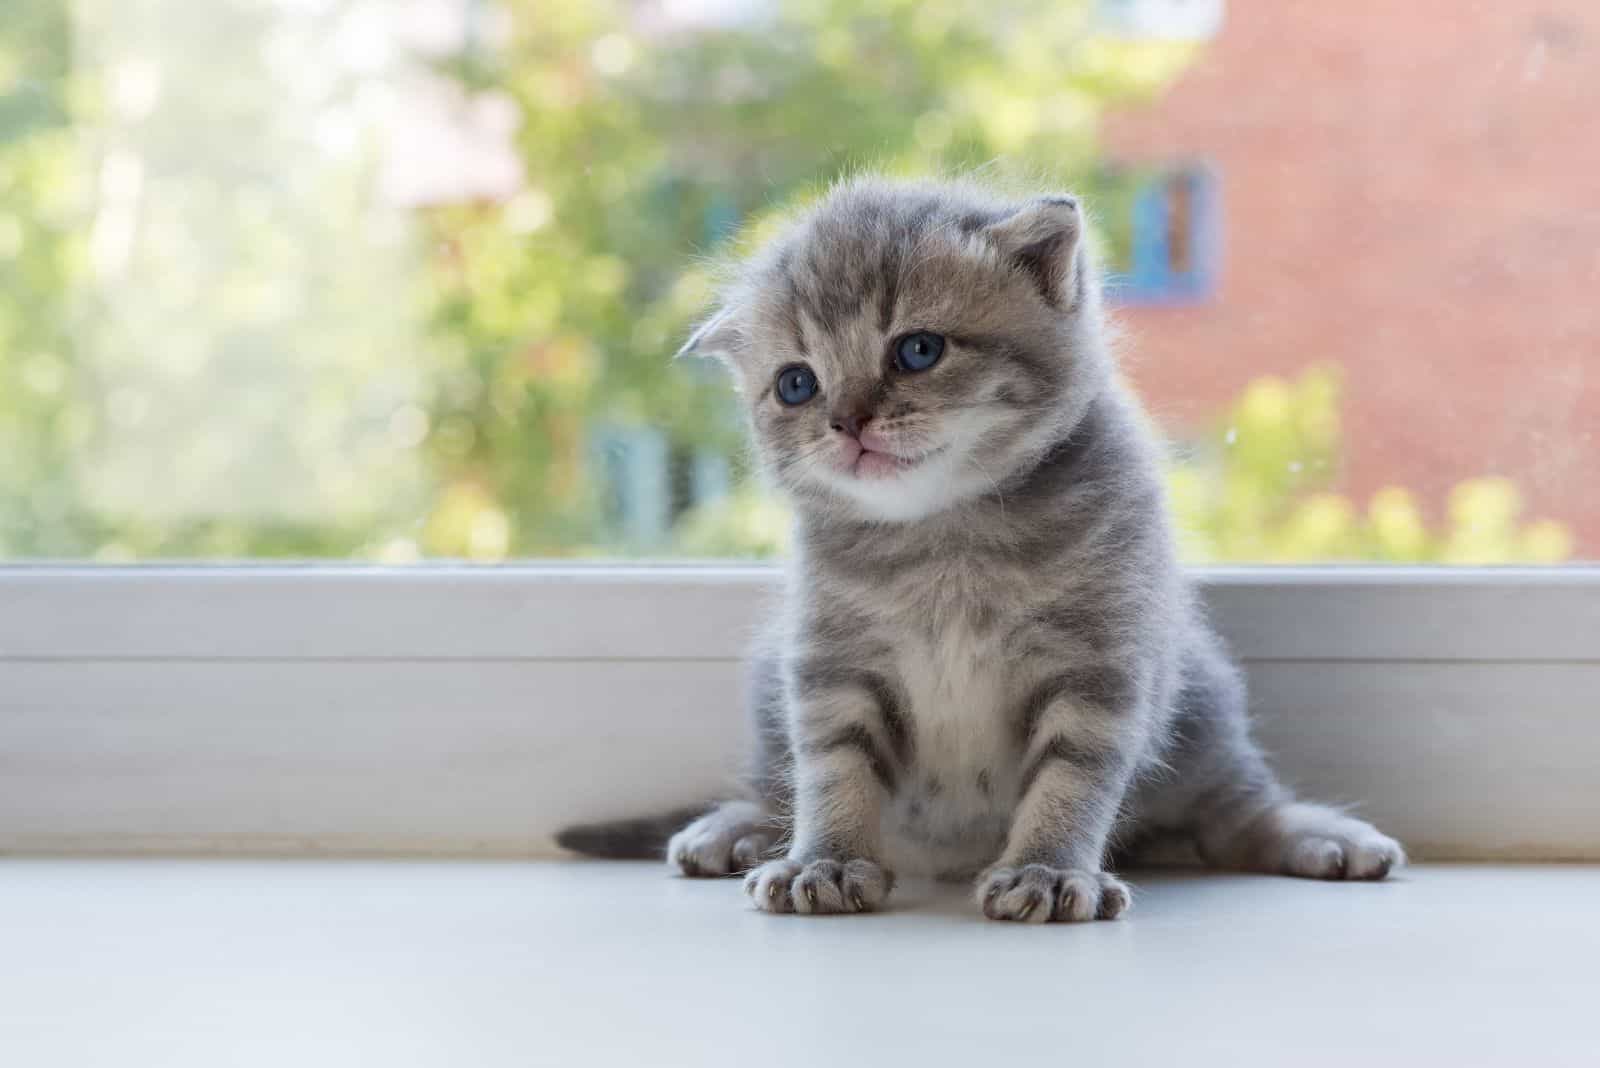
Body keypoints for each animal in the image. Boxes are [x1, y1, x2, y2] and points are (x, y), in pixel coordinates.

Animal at [560, 175, 1401, 920]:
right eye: (797, 384)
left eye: (917, 350)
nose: (847, 421)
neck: (946, 541)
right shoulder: (830, 664)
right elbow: (831, 769)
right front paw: (824, 860)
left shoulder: (1100, 662)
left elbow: (1074, 777)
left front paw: (1049, 871)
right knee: (776, 784)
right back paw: (736, 828)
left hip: (1201, 701)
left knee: (1238, 813)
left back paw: (1326, 837)